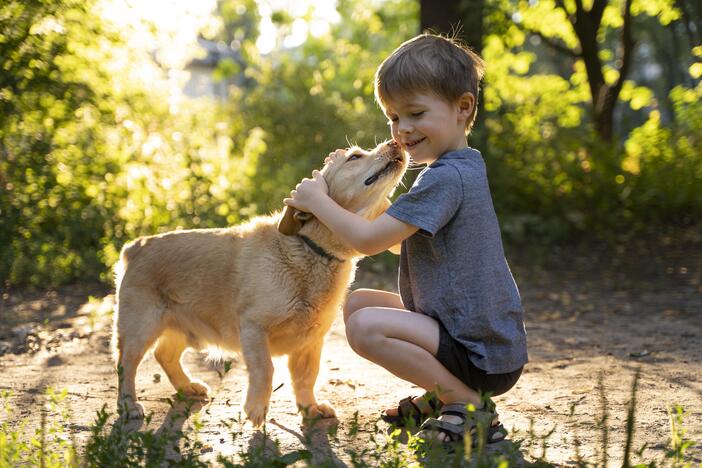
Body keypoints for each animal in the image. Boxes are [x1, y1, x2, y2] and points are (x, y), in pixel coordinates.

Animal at [110, 138, 408, 424]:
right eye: (354, 156)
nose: (397, 142)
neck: (311, 249)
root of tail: (135, 246)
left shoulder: (311, 341)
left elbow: (306, 377)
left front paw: (309, 408)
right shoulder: (254, 328)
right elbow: (265, 370)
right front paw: (256, 408)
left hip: (185, 328)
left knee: (165, 355)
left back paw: (188, 386)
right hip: (139, 330)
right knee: (126, 366)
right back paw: (128, 405)